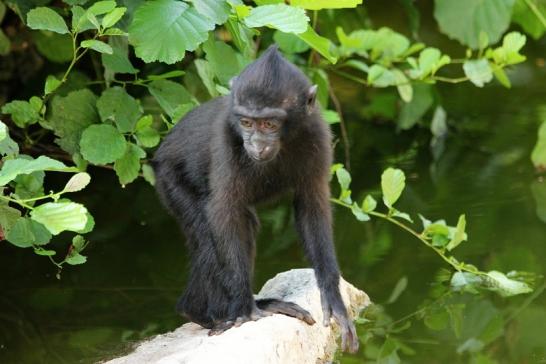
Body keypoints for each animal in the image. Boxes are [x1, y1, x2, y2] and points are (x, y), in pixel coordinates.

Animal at [152, 45, 356, 352]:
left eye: (270, 123)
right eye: (247, 123)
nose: (256, 145)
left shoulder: (318, 132)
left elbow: (312, 205)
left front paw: (334, 299)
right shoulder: (227, 136)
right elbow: (223, 211)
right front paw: (244, 310)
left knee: (244, 224)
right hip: (169, 178)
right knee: (208, 234)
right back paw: (205, 311)